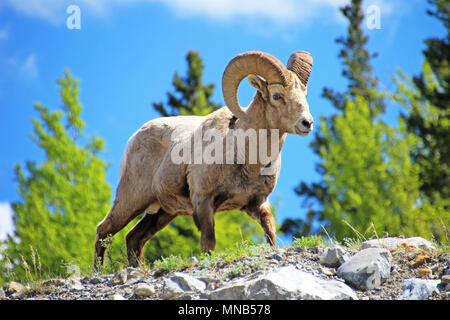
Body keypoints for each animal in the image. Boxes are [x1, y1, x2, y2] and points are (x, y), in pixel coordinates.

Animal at [94, 51, 312, 268]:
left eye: (304, 94)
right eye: (277, 96)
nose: (307, 123)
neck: (246, 158)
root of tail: (134, 138)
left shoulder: (258, 203)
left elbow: (270, 233)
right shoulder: (203, 201)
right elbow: (208, 242)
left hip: (162, 212)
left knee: (134, 239)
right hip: (131, 200)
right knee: (104, 230)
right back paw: (99, 272)